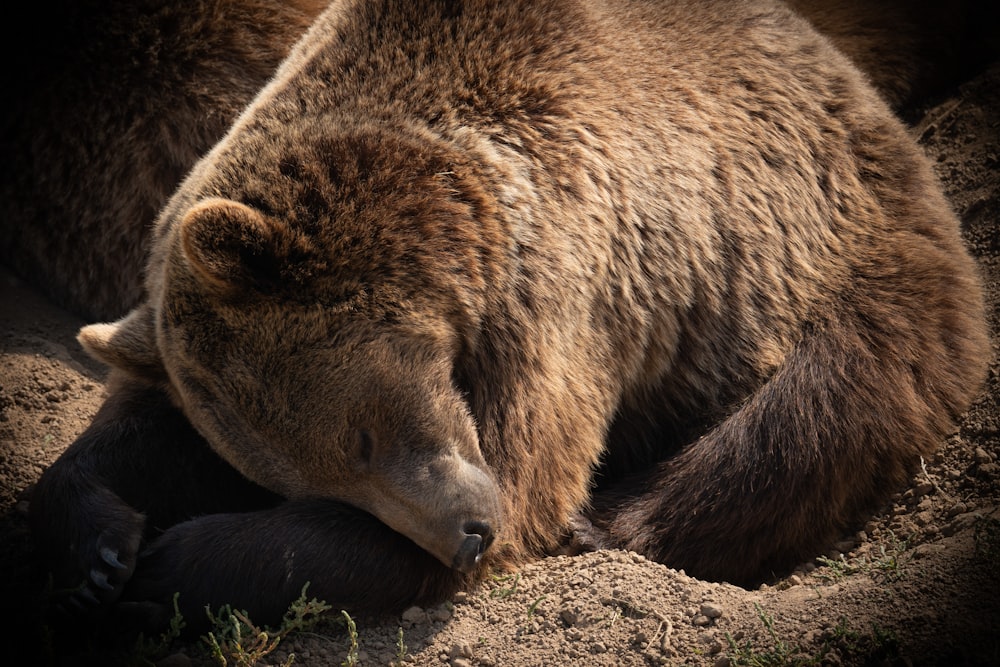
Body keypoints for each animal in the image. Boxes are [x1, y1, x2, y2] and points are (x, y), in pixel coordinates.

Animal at [27, 0, 988, 640]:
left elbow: (526, 476)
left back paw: (612, 521)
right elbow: (138, 423)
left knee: (819, 406)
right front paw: (94, 550)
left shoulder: (562, 281)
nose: (465, 535)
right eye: (309, 477)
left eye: (363, 437)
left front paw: (169, 563)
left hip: (819, 243)